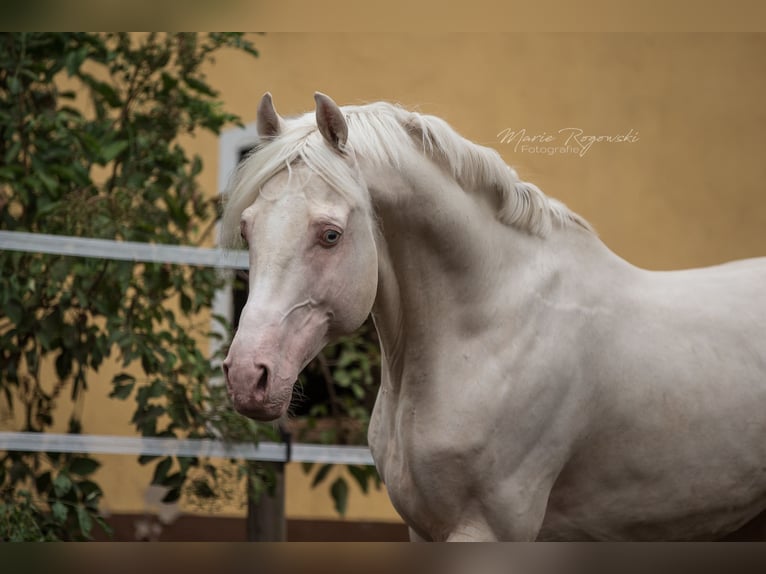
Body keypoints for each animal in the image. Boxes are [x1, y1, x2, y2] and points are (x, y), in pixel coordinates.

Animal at [221, 92, 766, 541]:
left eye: (330, 234)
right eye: (247, 230)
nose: (248, 375)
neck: (490, 331)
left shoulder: (486, 528)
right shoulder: (425, 530)